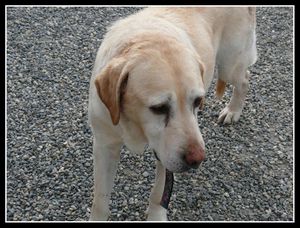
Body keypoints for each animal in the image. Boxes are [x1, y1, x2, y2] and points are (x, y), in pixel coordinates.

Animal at [88, 7, 256, 221]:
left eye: (197, 101)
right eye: (159, 108)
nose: (197, 159)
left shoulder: (166, 155)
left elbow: (159, 193)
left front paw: (156, 216)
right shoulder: (104, 145)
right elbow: (100, 199)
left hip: (229, 64)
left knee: (244, 79)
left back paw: (233, 110)